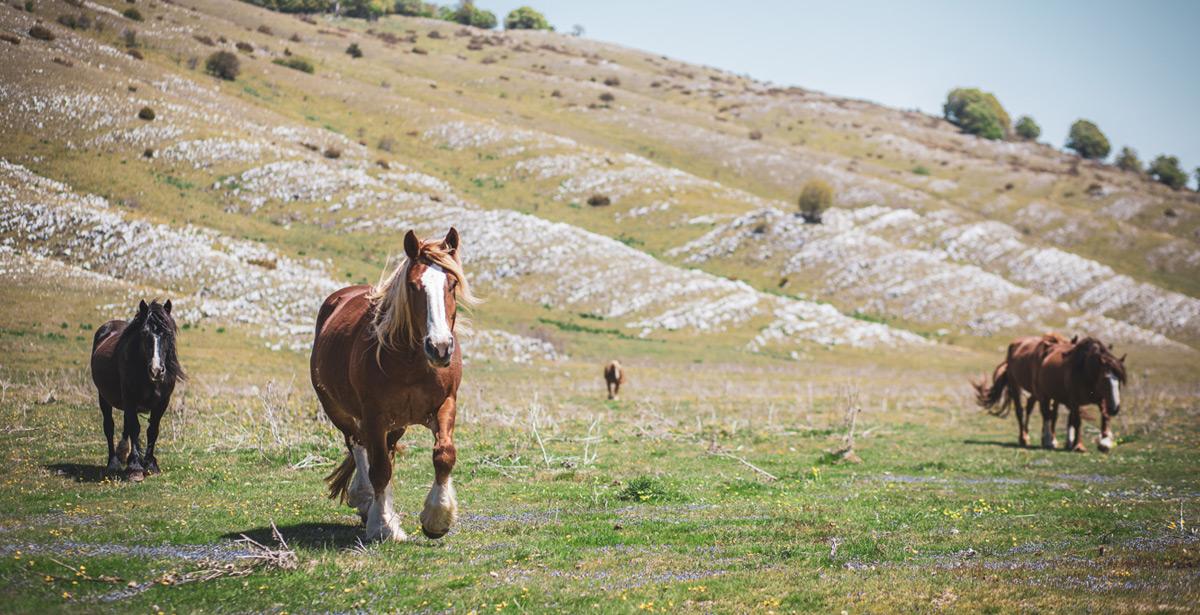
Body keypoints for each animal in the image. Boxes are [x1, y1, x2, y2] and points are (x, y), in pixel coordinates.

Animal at [88, 297, 181, 480]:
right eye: (144, 333)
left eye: (167, 334)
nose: (156, 370)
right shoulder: (130, 398)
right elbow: (135, 428)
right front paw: (136, 468)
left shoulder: (162, 402)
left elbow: (152, 430)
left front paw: (151, 464)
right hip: (103, 396)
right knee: (109, 426)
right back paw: (113, 462)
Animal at [312, 228, 475, 540]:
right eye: (413, 286)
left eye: (451, 284)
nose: (439, 347)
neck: (411, 363)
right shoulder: (374, 414)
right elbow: (379, 470)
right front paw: (383, 526)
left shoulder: (446, 403)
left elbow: (444, 455)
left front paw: (437, 518)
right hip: (338, 411)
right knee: (358, 446)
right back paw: (366, 500)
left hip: (397, 424)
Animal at [974, 333, 1123, 449]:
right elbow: (1051, 414)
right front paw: (1052, 440)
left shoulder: (1057, 395)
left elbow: (1055, 415)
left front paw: (1060, 440)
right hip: (1016, 386)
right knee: (1020, 411)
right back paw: (1024, 438)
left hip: (1036, 393)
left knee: (1030, 407)